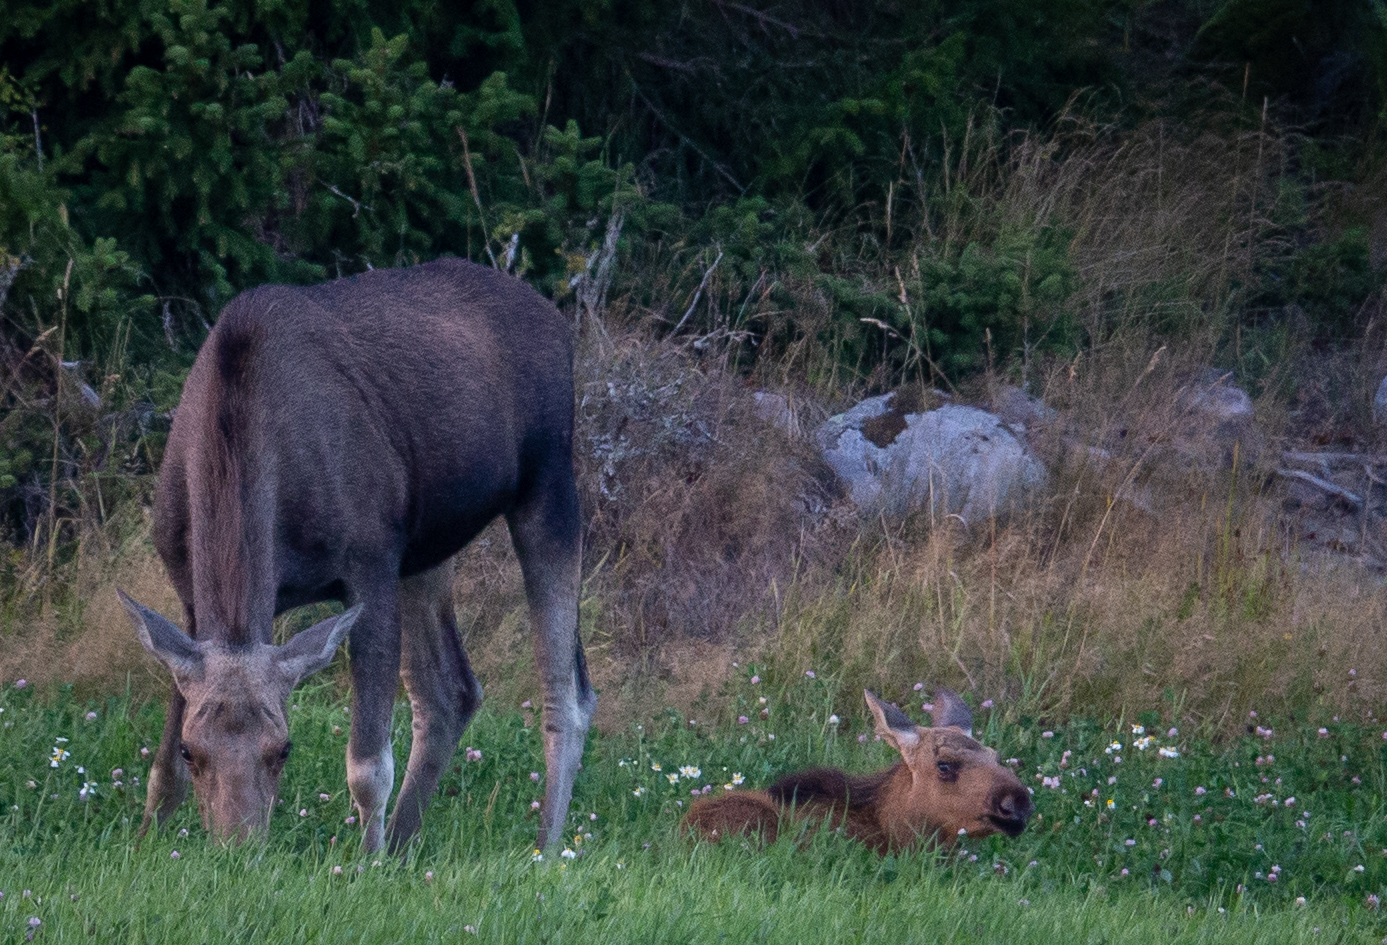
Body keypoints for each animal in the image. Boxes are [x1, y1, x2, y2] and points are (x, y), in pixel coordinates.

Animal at [117, 258, 596, 853]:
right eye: (192, 749)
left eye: (284, 749)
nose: (237, 850)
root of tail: (558, 324)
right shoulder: (186, 597)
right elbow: (160, 770)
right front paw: (144, 843)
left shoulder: (369, 563)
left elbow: (367, 766)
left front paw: (364, 865)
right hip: (425, 549)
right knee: (451, 691)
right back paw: (404, 846)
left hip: (548, 485)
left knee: (568, 693)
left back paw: (545, 850)